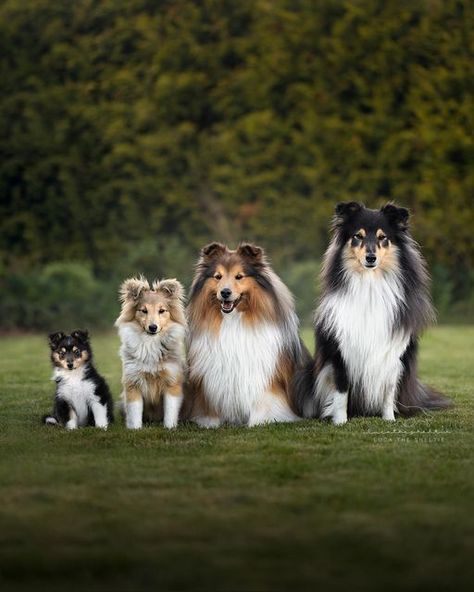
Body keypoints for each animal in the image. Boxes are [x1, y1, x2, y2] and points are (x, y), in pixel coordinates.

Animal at [115, 276, 186, 428]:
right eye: (143, 310)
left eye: (162, 310)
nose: (153, 327)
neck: (150, 343)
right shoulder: (133, 382)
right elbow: (134, 413)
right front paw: (135, 429)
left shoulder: (172, 382)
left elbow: (170, 411)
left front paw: (170, 428)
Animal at [185, 243, 312, 428]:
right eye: (218, 277)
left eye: (239, 276)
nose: (225, 292)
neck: (233, 320)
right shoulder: (212, 377)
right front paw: (210, 422)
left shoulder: (264, 375)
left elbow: (263, 401)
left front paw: (261, 421)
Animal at [300, 201, 452, 424]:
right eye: (358, 236)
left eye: (383, 237)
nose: (370, 258)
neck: (370, 284)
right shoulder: (340, 351)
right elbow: (341, 390)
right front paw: (340, 421)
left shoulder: (393, 352)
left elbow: (388, 388)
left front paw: (389, 419)